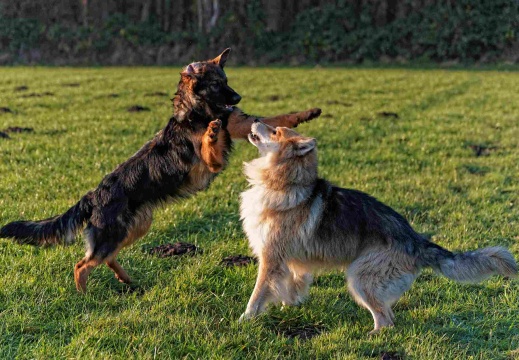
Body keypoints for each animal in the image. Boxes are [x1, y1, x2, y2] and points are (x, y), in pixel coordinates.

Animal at [0, 48, 320, 292]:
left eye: (226, 80)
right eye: (217, 84)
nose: (237, 98)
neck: (198, 112)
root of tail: (93, 195)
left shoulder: (241, 124)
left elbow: (279, 118)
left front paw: (308, 113)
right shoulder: (211, 161)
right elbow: (211, 147)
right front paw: (210, 133)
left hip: (136, 226)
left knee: (104, 258)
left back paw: (126, 281)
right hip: (115, 232)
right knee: (82, 265)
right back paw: (83, 295)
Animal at [238, 121, 516, 334]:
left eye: (275, 131)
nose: (254, 120)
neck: (286, 182)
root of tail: (415, 239)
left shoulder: (271, 257)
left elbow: (258, 293)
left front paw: (246, 319)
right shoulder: (291, 262)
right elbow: (291, 288)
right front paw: (289, 307)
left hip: (361, 278)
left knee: (386, 320)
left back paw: (372, 335)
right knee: (388, 315)